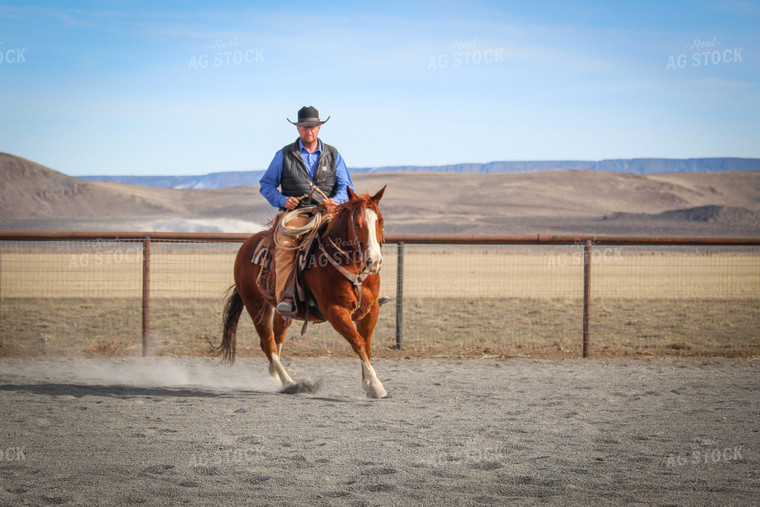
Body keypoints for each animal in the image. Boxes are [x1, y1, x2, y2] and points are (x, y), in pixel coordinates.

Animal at [218, 185, 386, 398]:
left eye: (380, 221)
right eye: (357, 224)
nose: (374, 261)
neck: (351, 264)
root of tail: (247, 245)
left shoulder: (371, 310)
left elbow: (367, 344)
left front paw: (368, 383)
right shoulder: (335, 311)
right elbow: (358, 343)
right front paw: (375, 386)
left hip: (282, 310)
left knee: (277, 338)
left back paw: (275, 376)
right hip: (255, 306)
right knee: (268, 343)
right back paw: (289, 382)